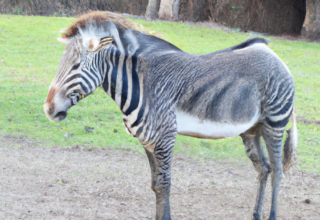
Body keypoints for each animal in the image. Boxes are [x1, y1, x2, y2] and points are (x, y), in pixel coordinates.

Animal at [43, 12, 298, 220]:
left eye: (76, 65)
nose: (48, 109)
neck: (143, 82)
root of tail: (271, 53)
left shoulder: (166, 137)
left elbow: (165, 184)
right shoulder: (148, 141)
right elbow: (156, 184)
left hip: (274, 124)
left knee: (277, 171)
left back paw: (272, 215)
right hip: (251, 130)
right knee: (264, 168)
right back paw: (256, 214)